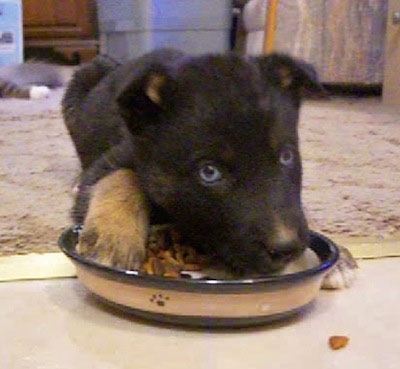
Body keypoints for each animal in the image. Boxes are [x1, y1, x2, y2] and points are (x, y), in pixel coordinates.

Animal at [62, 47, 356, 286]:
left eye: (286, 157)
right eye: (209, 172)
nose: (287, 250)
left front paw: (337, 256)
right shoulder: (111, 160)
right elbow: (120, 177)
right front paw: (112, 237)